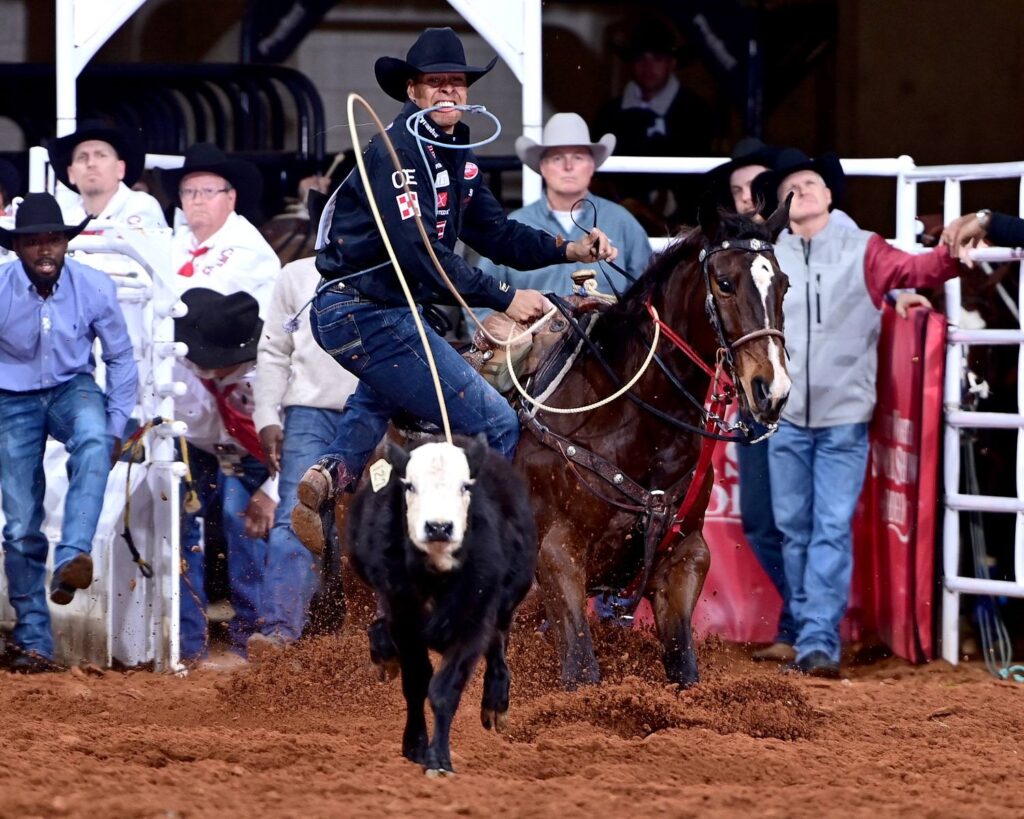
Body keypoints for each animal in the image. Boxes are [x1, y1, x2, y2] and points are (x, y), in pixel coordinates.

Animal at [520, 199, 790, 692]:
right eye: (724, 283)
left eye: (784, 285)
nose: (772, 391)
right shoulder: (556, 554)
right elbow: (582, 668)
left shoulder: (686, 558)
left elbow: (684, 666)